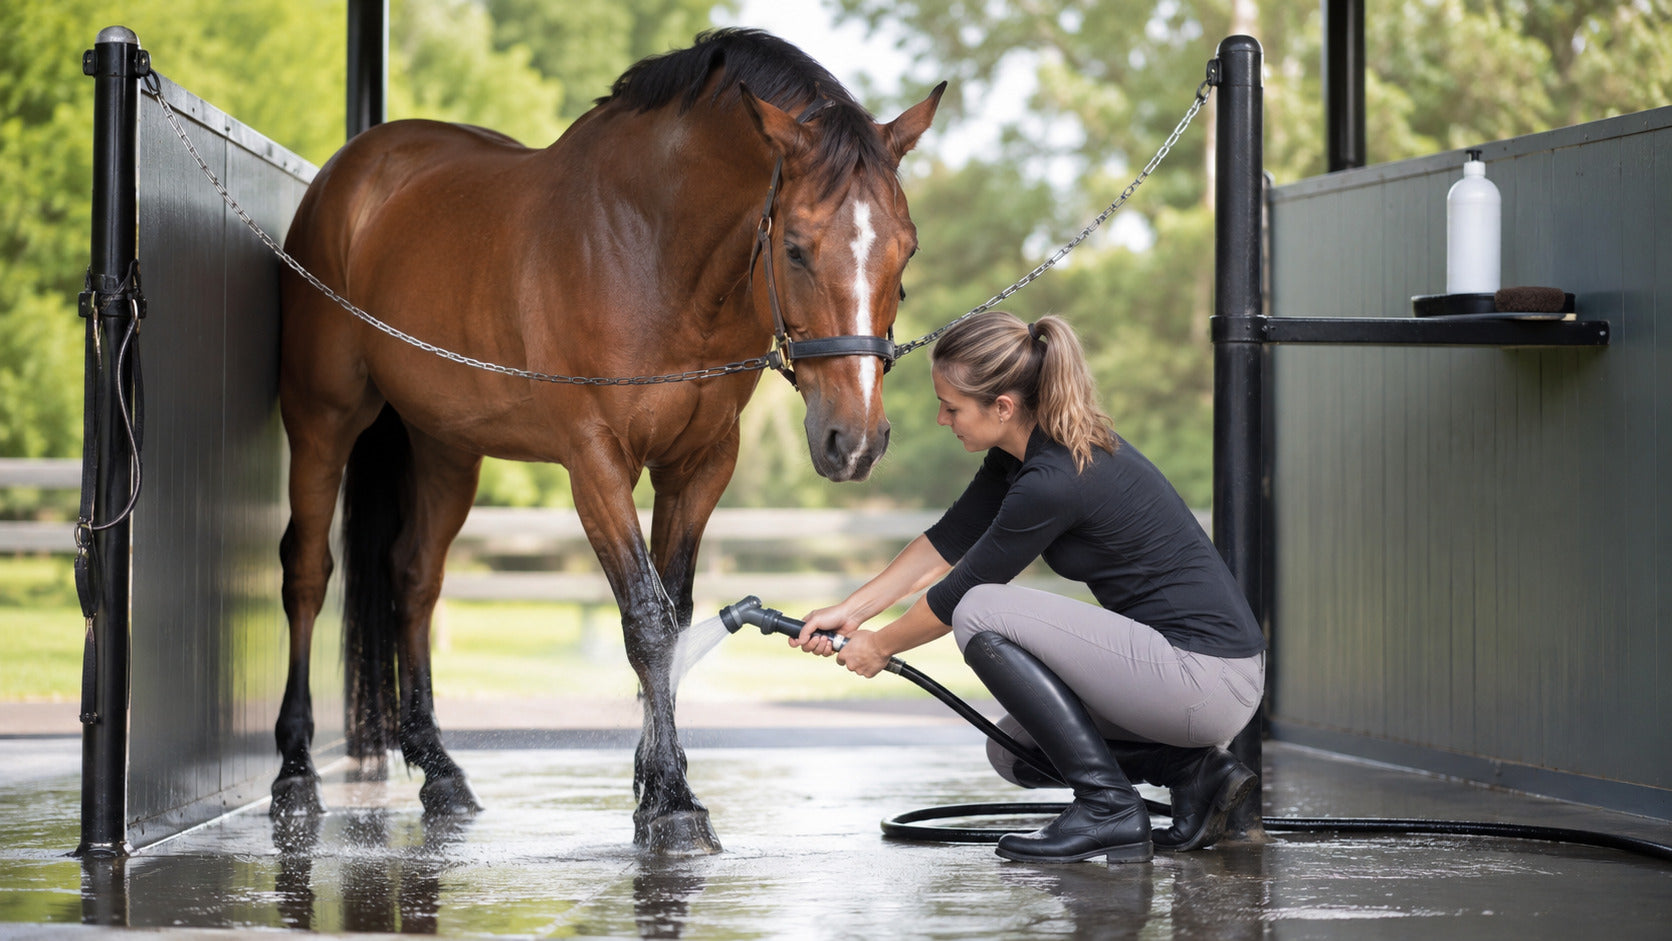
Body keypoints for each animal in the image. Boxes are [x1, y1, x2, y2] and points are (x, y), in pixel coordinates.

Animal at [269, 28, 942, 854]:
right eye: (795, 247)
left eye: (906, 251)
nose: (855, 440)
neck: (651, 248)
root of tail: (351, 169)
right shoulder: (594, 460)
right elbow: (646, 621)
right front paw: (675, 804)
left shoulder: (700, 462)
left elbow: (675, 617)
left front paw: (653, 784)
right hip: (322, 418)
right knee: (307, 572)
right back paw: (295, 771)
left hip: (446, 447)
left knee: (414, 578)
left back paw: (440, 770)